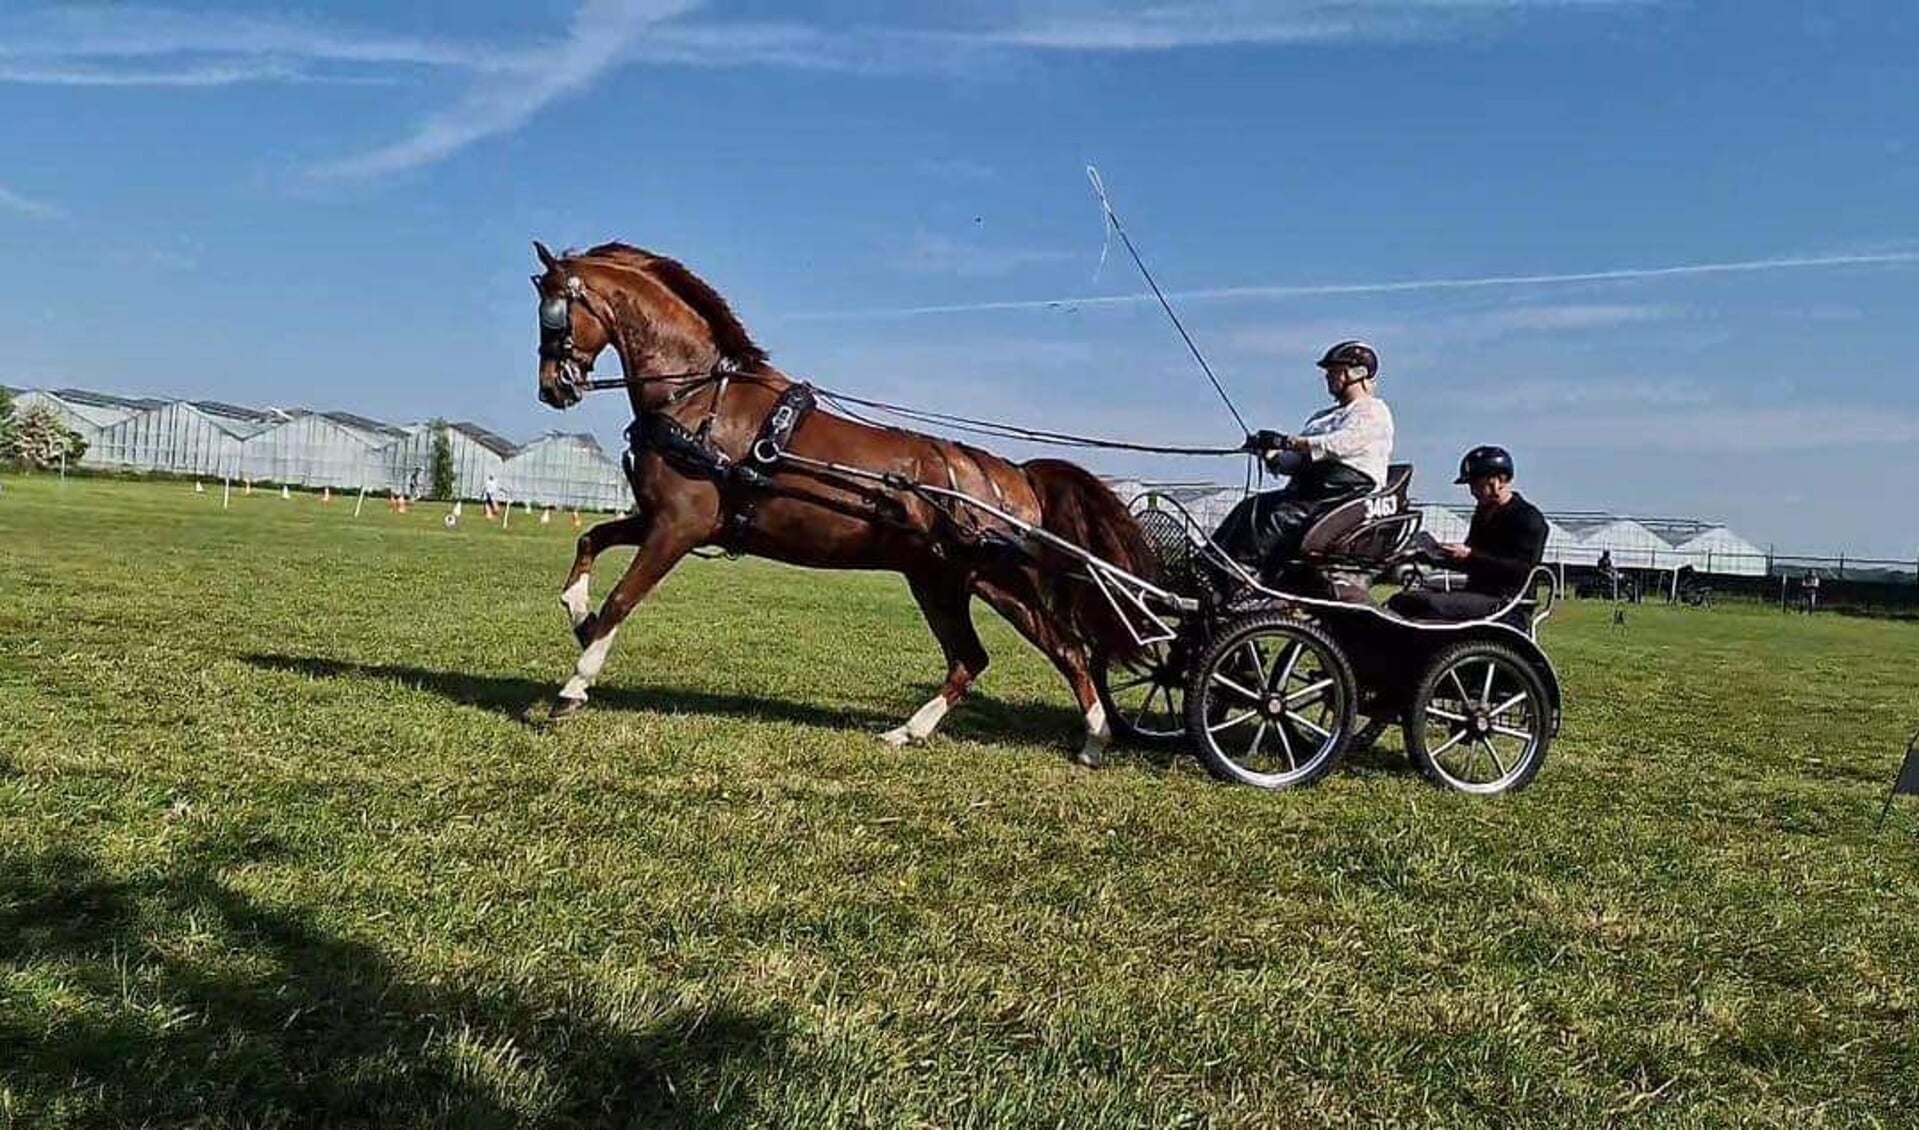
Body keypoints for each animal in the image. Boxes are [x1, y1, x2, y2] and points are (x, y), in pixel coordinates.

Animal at [529, 237, 1151, 767]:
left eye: (554, 311)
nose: (552, 388)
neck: (701, 397)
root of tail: (1014, 473)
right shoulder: (665, 520)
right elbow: (590, 540)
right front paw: (579, 615)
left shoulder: (679, 527)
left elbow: (623, 599)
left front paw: (575, 685)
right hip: (951, 581)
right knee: (998, 656)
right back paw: (924, 732)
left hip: (992, 578)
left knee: (1056, 649)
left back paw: (1091, 739)